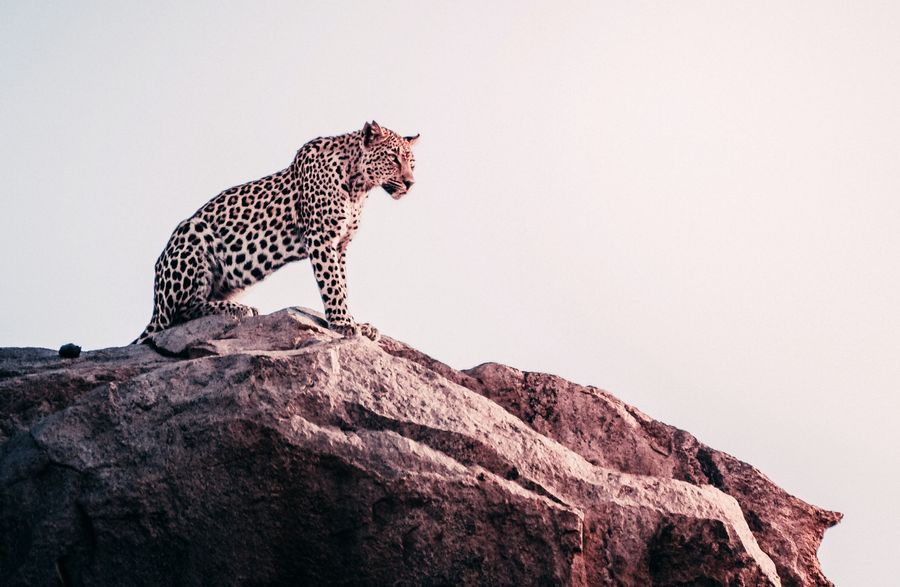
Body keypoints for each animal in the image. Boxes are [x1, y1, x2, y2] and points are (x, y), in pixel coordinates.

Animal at [133, 121, 418, 344]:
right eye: (393, 158)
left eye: (412, 163)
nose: (410, 183)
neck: (359, 186)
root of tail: (155, 305)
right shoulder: (321, 238)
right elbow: (332, 284)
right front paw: (343, 324)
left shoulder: (340, 245)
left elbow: (343, 284)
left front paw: (356, 322)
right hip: (193, 233)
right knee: (180, 313)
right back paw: (239, 309)